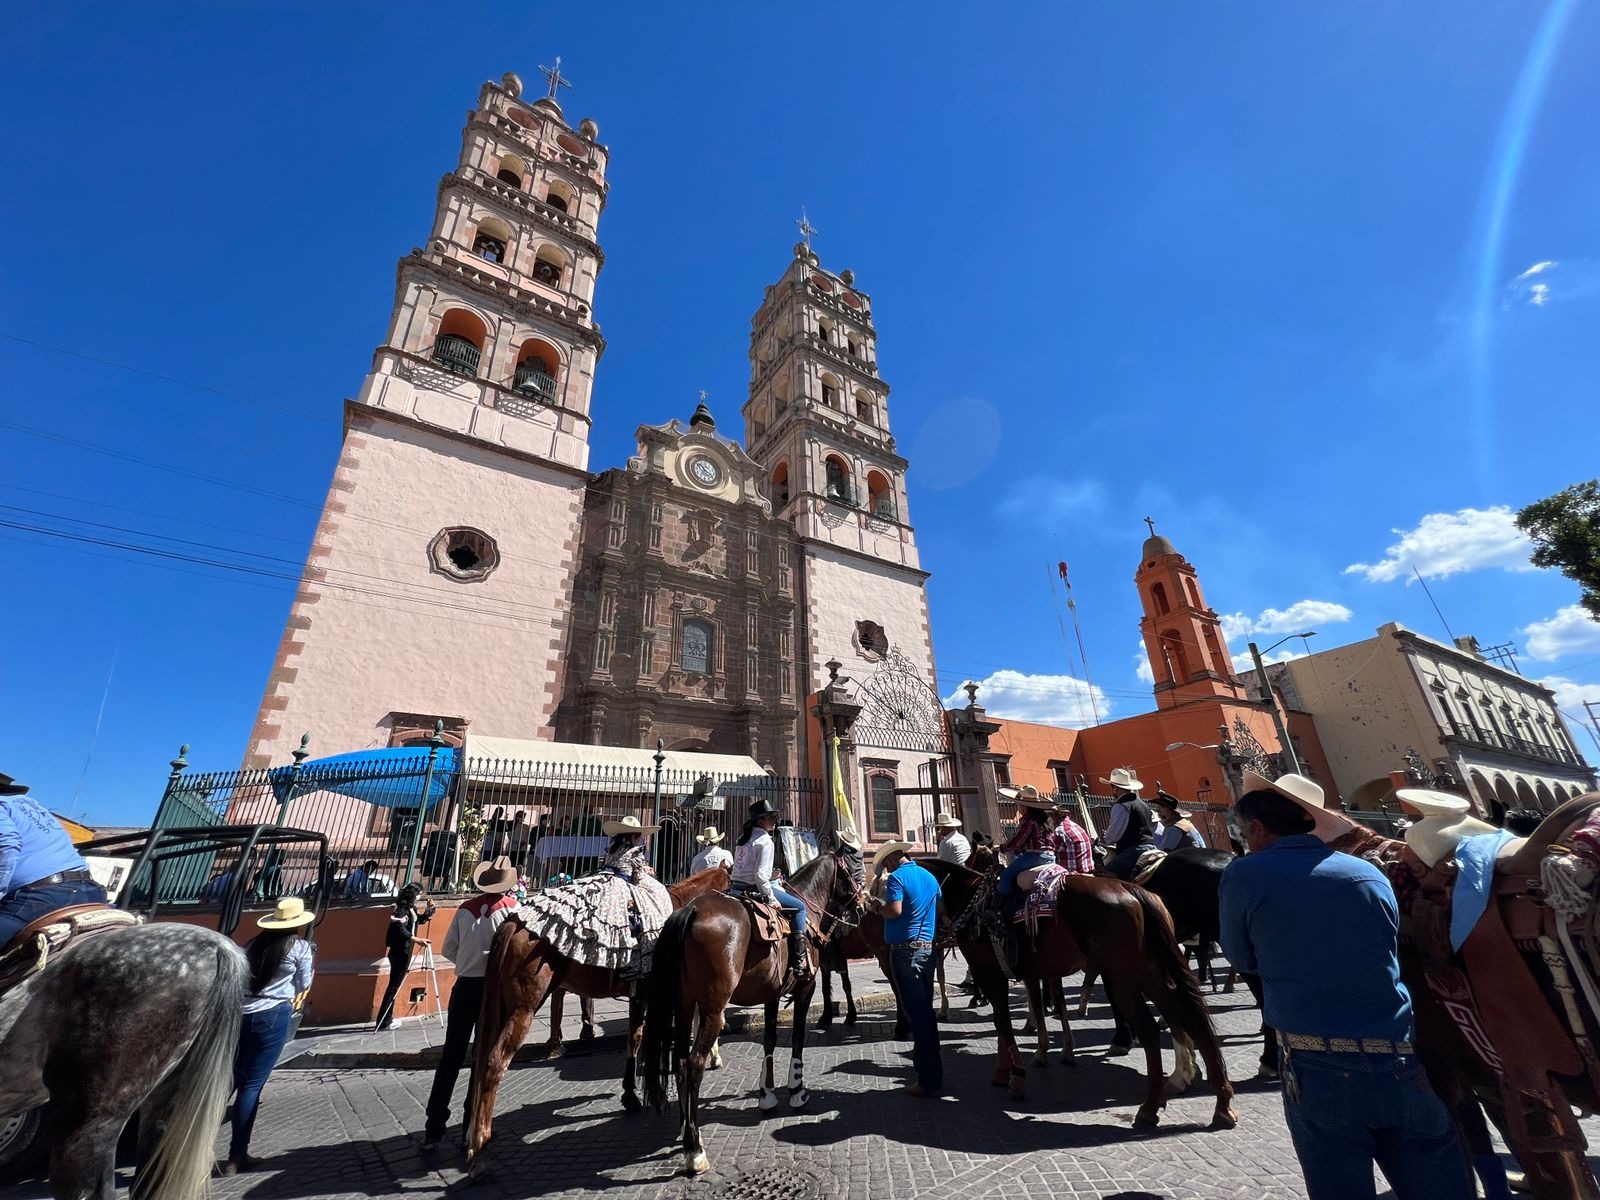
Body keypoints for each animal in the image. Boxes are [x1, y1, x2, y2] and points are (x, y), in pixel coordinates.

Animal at [464, 864, 730, 1178]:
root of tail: (512, 922)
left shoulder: (639, 994)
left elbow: (634, 1038)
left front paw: (631, 1096)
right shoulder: (661, 994)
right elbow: (659, 1038)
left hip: (502, 1003)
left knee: (479, 1055)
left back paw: (470, 1133)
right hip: (524, 1006)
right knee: (494, 1062)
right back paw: (480, 1153)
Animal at [641, 849, 862, 1176]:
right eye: (853, 869)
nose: (864, 902)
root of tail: (689, 911)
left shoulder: (770, 994)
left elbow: (769, 1041)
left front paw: (767, 1096)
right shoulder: (805, 988)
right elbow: (797, 1040)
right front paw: (797, 1092)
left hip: (683, 1004)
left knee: (679, 1062)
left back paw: (687, 1131)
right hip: (713, 1008)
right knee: (693, 1064)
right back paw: (695, 1151)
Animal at [921, 858, 1237, 1128]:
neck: (970, 900)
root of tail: (1132, 889)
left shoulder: (989, 972)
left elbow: (1004, 1022)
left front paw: (1016, 1079)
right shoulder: (1024, 973)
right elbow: (1020, 1016)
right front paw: (1013, 1067)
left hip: (1122, 977)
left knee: (1149, 1026)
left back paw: (1150, 1106)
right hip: (1151, 972)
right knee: (1188, 1017)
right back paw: (1219, 1101)